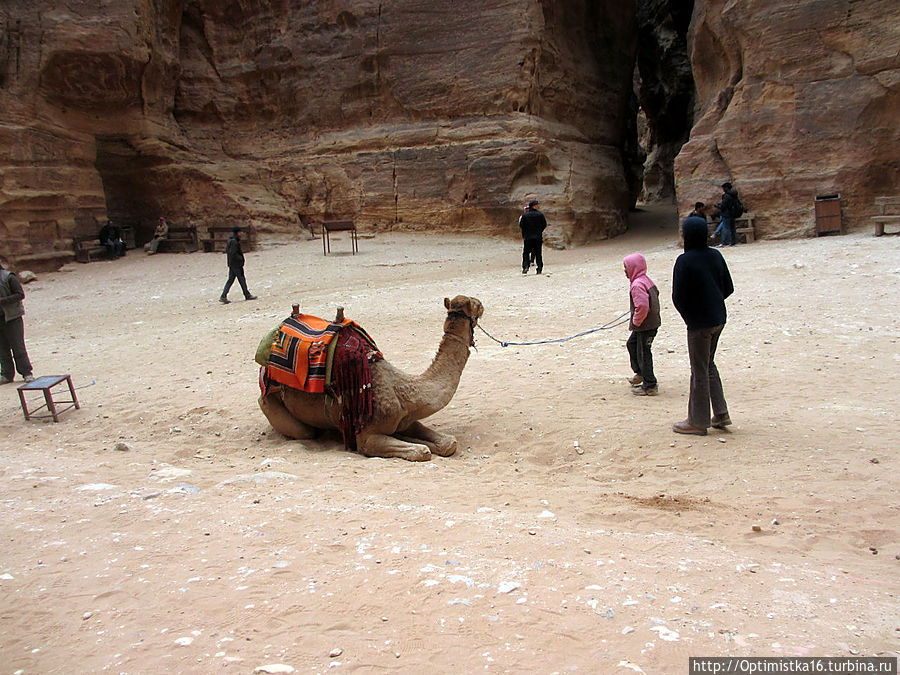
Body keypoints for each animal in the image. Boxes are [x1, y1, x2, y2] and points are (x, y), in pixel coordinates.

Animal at [258, 294, 486, 460]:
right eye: (474, 304)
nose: (482, 303)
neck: (404, 391)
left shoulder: (406, 419)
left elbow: (448, 443)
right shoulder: (367, 437)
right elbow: (421, 452)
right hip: (272, 401)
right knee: (304, 432)